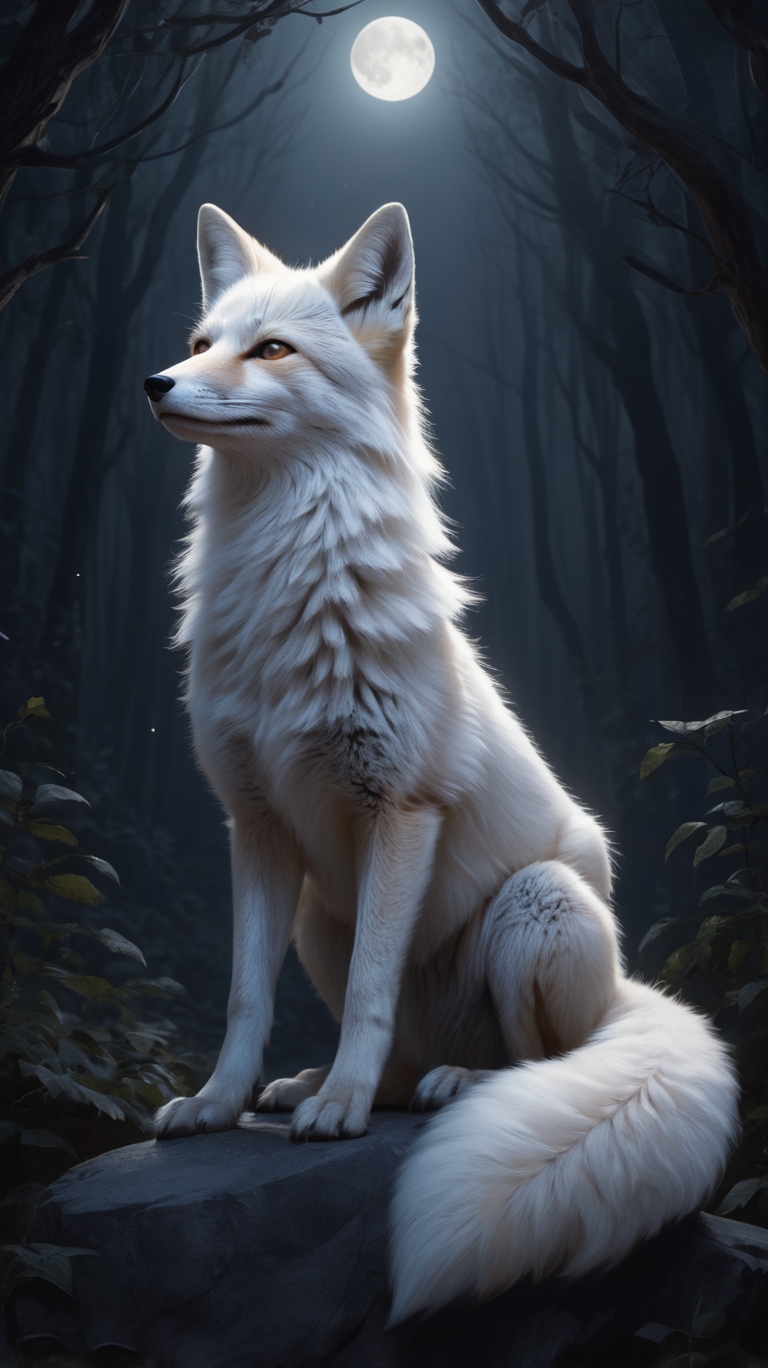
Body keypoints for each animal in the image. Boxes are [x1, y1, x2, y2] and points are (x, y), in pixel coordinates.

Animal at [144, 201, 739, 1322]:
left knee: (529, 1060)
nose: (156, 381)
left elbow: (373, 994)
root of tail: (629, 992)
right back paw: (324, 1088)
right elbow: (246, 1000)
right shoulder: (254, 825)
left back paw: (449, 1086)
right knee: (398, 1049)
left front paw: (335, 1107)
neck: (285, 583)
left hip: (535, 905)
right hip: (316, 915)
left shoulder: (402, 810)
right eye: (202, 342)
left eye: (271, 350)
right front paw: (221, 1101)